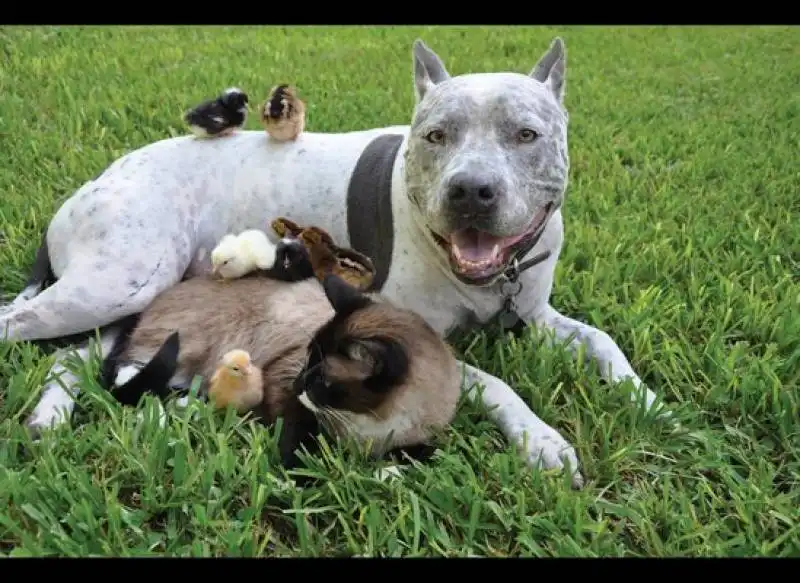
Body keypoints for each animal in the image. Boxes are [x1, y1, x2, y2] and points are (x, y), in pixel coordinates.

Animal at [101, 240, 462, 472]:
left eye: (321, 379)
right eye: (306, 360)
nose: (300, 382)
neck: (368, 424)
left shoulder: (423, 440)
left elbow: (422, 455)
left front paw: (388, 470)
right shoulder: (283, 386)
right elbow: (295, 444)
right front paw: (300, 477)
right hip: (190, 348)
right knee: (129, 377)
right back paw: (167, 413)